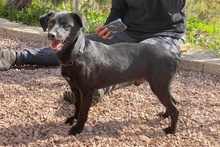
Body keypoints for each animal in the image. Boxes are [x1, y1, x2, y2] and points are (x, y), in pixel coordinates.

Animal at [39, 11, 180, 136]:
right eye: (51, 23)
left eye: (66, 25)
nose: (51, 35)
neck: (78, 53)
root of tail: (172, 55)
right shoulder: (74, 87)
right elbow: (77, 106)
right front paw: (73, 119)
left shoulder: (87, 91)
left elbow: (83, 111)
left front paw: (78, 128)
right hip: (162, 86)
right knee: (172, 102)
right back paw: (165, 115)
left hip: (159, 86)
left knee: (176, 110)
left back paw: (171, 130)